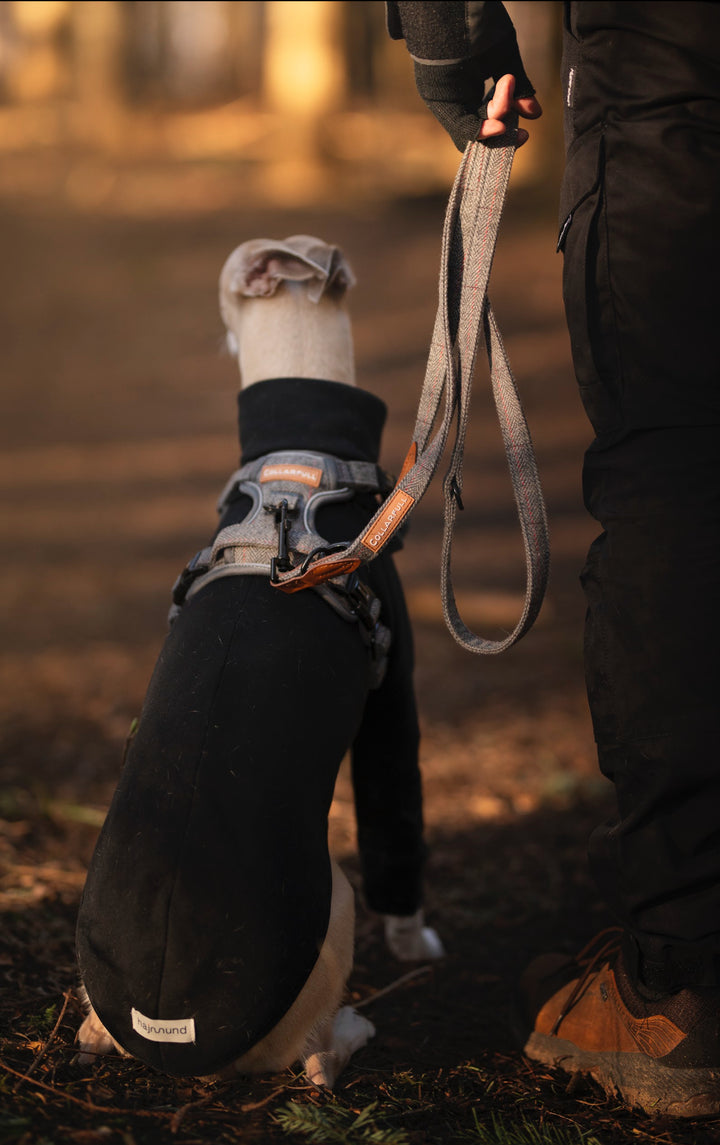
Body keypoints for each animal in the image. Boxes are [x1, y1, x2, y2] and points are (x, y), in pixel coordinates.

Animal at [75, 234, 441, 1090]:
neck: (295, 473)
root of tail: (167, 1027)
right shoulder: (392, 703)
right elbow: (397, 826)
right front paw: (416, 943)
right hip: (333, 902)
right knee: (312, 1054)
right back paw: (348, 1031)